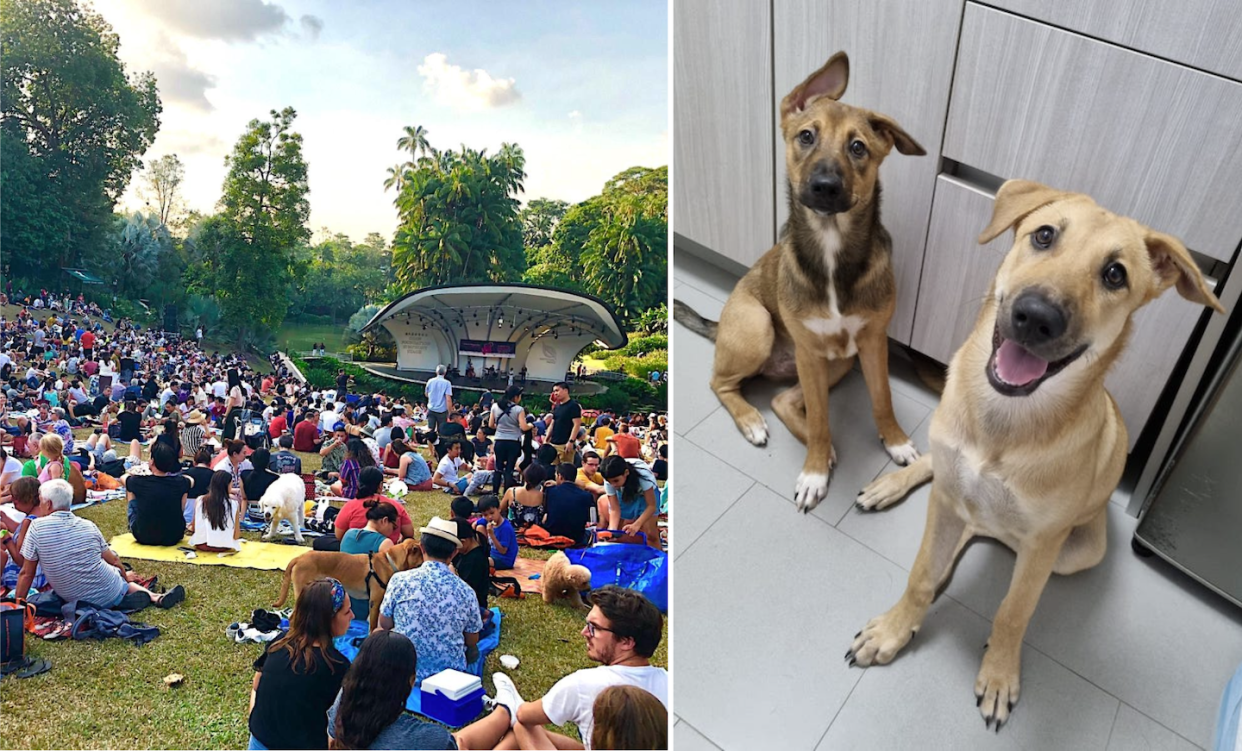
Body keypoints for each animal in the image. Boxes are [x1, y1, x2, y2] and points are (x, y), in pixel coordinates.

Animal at [274, 536, 424, 630]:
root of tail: (299, 558)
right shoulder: (375, 603)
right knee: (292, 618)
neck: (389, 562)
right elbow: (373, 626)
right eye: (422, 560)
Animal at [675, 51, 929, 508]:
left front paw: (896, 441)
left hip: (839, 360)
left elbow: (882, 398)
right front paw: (813, 473)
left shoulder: (872, 341)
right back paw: (757, 423)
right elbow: (823, 418)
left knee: (781, 399)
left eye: (858, 147)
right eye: (806, 136)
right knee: (722, 383)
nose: (825, 186)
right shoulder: (811, 352)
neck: (831, 251)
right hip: (758, 327)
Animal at [844, 178, 1222, 729]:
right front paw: (896, 627)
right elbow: (920, 574)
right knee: (944, 485)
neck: (1005, 421)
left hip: (1080, 550)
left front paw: (999, 675)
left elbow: (1013, 611)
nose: (1036, 318)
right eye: (1043, 235)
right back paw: (896, 485)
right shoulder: (948, 497)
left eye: (1115, 274)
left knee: (985, 533)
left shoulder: (1043, 546)